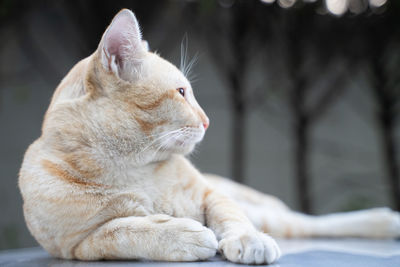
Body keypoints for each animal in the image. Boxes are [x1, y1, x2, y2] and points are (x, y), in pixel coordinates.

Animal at [18, 8, 400, 266]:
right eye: (181, 93)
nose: (207, 122)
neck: (134, 169)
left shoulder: (211, 195)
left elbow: (232, 217)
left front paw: (248, 240)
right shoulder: (79, 245)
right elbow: (128, 229)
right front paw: (180, 234)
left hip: (265, 211)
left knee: (307, 222)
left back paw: (385, 221)